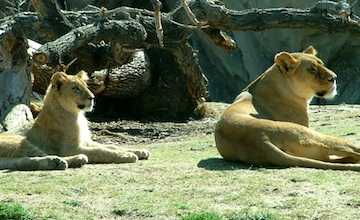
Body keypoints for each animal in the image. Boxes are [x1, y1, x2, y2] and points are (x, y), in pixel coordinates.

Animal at [0, 70, 150, 170]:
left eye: (86, 86)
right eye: (76, 88)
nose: (92, 98)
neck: (77, 115)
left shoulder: (86, 141)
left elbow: (111, 146)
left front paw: (139, 151)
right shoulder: (70, 148)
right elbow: (101, 151)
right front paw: (127, 155)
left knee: (21, 161)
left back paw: (63, 162)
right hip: (20, 142)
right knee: (42, 155)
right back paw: (67, 160)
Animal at [215, 45, 358, 171]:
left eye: (322, 64)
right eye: (312, 69)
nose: (334, 78)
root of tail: (261, 141)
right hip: (310, 134)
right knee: (352, 149)